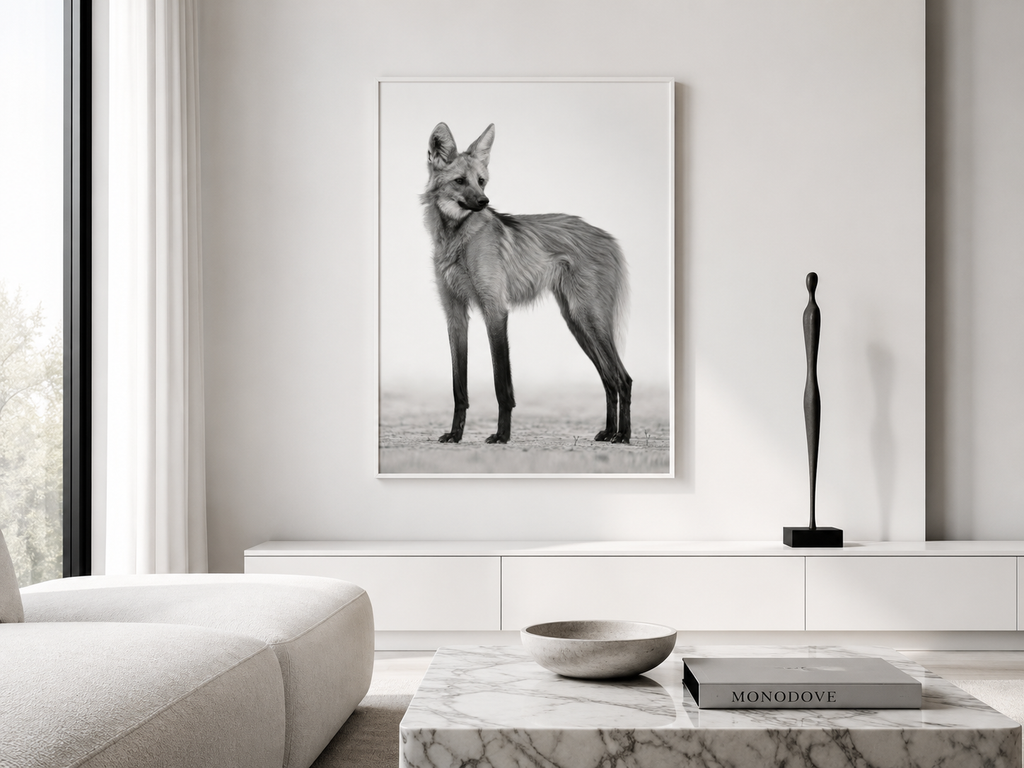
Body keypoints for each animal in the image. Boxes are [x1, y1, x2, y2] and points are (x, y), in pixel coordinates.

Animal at [421, 122, 631, 445]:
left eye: (481, 181)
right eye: (459, 181)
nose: (484, 202)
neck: (456, 238)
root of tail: (609, 237)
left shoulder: (495, 310)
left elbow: (502, 384)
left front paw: (502, 435)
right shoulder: (455, 314)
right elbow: (459, 387)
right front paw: (455, 434)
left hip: (589, 318)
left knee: (623, 378)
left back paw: (624, 435)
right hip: (576, 321)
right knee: (608, 378)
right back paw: (610, 432)